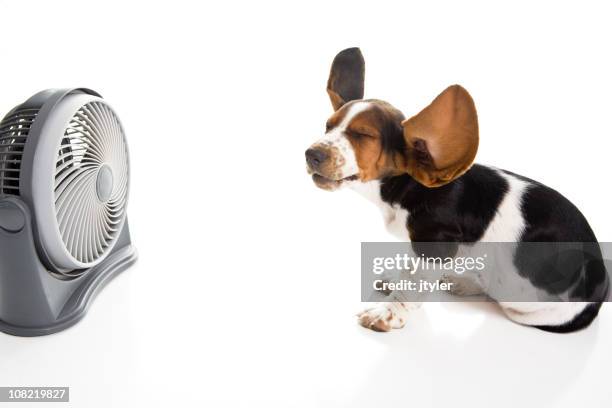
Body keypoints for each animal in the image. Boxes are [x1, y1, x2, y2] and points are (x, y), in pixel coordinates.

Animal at [306, 47, 608, 334]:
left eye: (363, 135)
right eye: (328, 126)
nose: (311, 155)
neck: (410, 186)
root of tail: (602, 286)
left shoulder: (434, 245)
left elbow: (412, 285)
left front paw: (388, 313)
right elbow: (409, 271)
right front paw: (395, 283)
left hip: (533, 310)